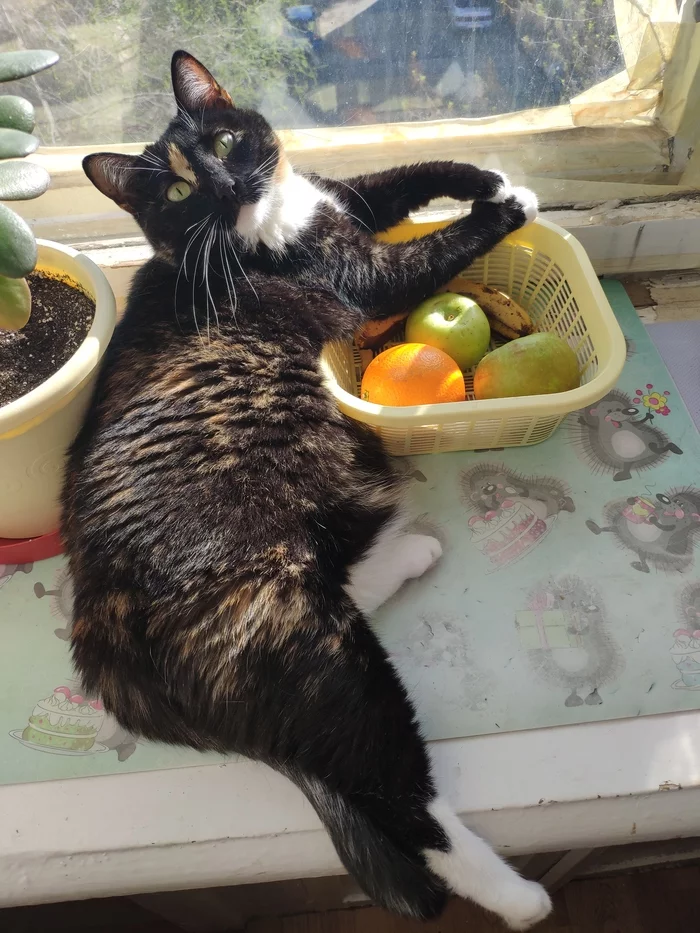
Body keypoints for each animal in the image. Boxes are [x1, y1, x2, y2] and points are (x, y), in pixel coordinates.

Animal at [63, 52, 548, 932]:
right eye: (177, 191)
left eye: (224, 139)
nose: (226, 184)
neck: (268, 229)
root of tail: (102, 643)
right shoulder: (368, 274)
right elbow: (434, 250)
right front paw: (508, 205)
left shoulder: (343, 196)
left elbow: (403, 174)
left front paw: (486, 174)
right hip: (312, 648)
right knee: (399, 795)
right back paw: (518, 895)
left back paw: (413, 550)